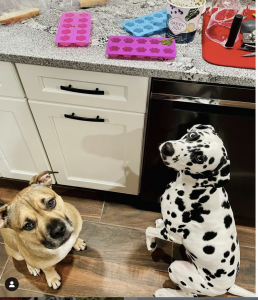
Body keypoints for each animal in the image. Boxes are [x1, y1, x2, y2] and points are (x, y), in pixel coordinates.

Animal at [145, 125, 256, 298]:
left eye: (199, 158)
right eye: (193, 135)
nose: (168, 148)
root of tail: (228, 287)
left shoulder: (173, 235)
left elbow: (148, 230)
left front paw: (151, 243)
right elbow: (158, 225)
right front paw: (159, 223)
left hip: (177, 268)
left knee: (189, 295)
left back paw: (165, 292)